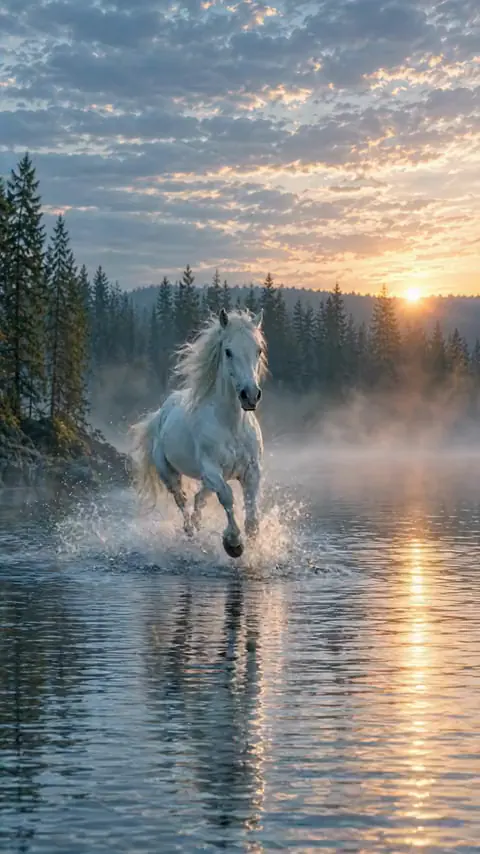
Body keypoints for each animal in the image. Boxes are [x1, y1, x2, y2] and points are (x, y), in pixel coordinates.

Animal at [130, 307, 267, 558]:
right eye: (228, 351)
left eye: (258, 350)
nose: (250, 395)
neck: (231, 424)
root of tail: (161, 413)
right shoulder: (212, 470)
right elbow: (228, 497)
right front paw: (233, 544)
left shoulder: (252, 471)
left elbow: (252, 517)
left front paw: (253, 549)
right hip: (170, 474)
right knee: (182, 499)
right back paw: (190, 531)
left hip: (206, 480)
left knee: (199, 499)